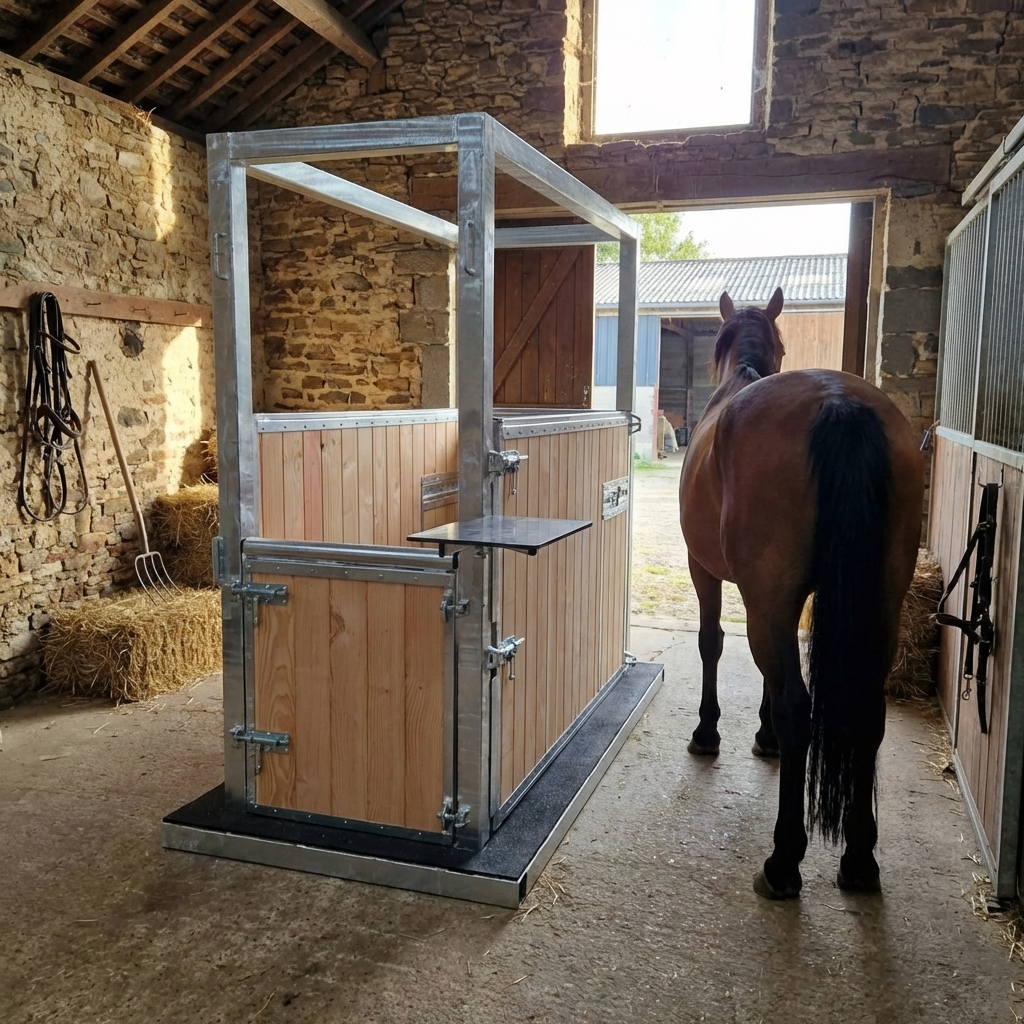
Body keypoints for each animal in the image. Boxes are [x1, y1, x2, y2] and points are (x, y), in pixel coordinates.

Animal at [678, 287, 924, 900]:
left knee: (798, 705)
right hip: (881, 606)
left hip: (769, 597)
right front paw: (761, 737)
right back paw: (859, 858)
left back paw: (783, 860)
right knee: (868, 711)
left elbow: (714, 644)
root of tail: (838, 402)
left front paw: (709, 732)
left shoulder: (708, 572)